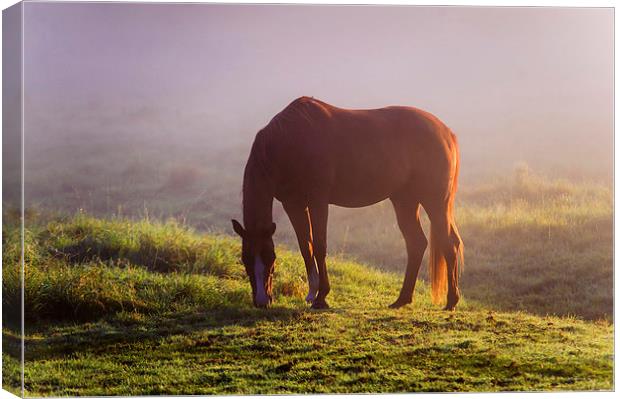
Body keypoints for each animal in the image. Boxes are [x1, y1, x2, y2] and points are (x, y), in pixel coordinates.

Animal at [230, 97, 462, 312]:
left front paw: (321, 297)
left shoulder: (318, 201)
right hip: (405, 201)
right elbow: (306, 246)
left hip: (434, 201)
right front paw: (312, 293)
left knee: (449, 243)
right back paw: (402, 299)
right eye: (245, 260)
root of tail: (446, 133)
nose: (261, 301)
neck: (290, 141)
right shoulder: (293, 204)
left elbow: (320, 246)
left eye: (270, 258)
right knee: (416, 243)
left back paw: (451, 301)